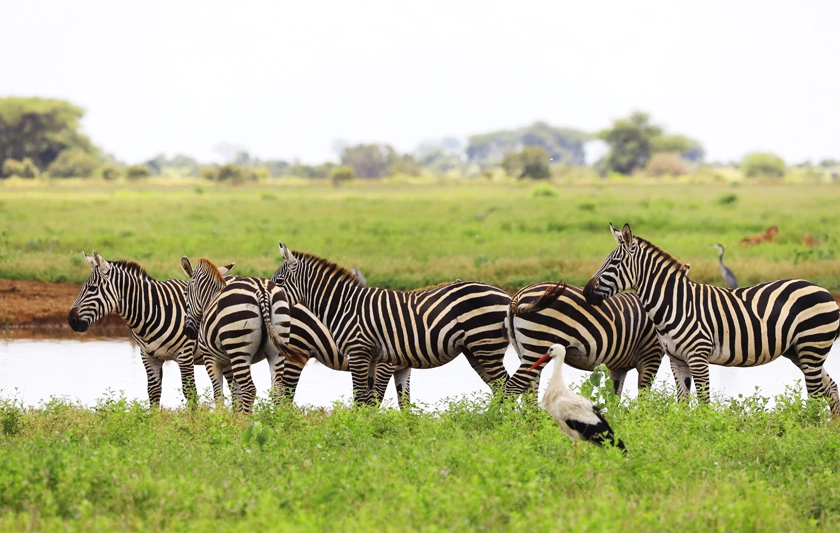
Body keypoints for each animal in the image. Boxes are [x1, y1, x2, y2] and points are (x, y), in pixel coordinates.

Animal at [68, 251, 225, 407]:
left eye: (92, 288)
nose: (71, 320)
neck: (153, 312)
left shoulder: (185, 354)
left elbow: (190, 392)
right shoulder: (148, 356)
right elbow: (153, 392)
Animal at [270, 244, 512, 406]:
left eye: (279, 282)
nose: (269, 295)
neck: (344, 305)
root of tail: (506, 296)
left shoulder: (364, 355)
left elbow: (367, 399)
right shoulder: (378, 360)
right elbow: (379, 401)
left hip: (485, 346)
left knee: (505, 385)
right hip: (477, 350)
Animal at [504, 281, 663, 398]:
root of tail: (519, 294)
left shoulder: (619, 366)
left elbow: (614, 398)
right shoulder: (651, 355)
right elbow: (643, 396)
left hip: (525, 351)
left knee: (529, 389)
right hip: (539, 346)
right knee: (514, 386)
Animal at [583, 223, 840, 413]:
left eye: (614, 263)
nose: (585, 292)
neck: (675, 304)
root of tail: (825, 291)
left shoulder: (698, 356)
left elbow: (705, 403)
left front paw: (704, 434)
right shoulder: (677, 360)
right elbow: (683, 404)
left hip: (812, 346)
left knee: (817, 394)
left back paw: (810, 429)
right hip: (800, 352)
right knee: (831, 389)